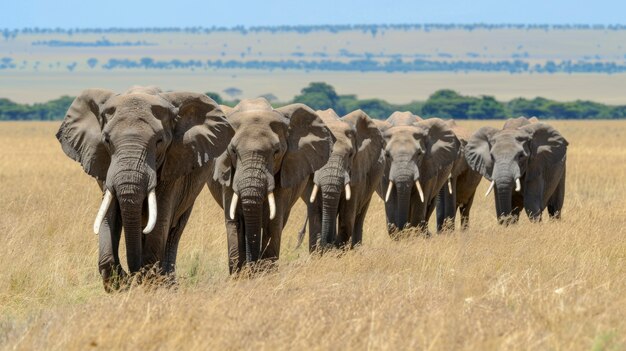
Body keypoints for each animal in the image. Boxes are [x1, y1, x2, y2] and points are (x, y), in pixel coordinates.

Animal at [55, 86, 232, 292]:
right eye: (106, 140)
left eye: (159, 141)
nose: (131, 277)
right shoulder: (104, 164)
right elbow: (109, 213)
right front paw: (121, 283)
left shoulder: (174, 163)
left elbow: (161, 217)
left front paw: (148, 283)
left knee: (174, 229)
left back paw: (168, 283)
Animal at [206, 99, 334, 276]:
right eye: (233, 151)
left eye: (276, 152)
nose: (251, 268)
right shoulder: (227, 174)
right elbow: (234, 221)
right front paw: (240, 276)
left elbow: (273, 222)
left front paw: (264, 274)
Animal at [294, 108, 386, 252]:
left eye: (350, 154)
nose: (327, 243)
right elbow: (316, 210)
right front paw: (319, 252)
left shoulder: (357, 168)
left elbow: (347, 215)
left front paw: (336, 251)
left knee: (359, 215)